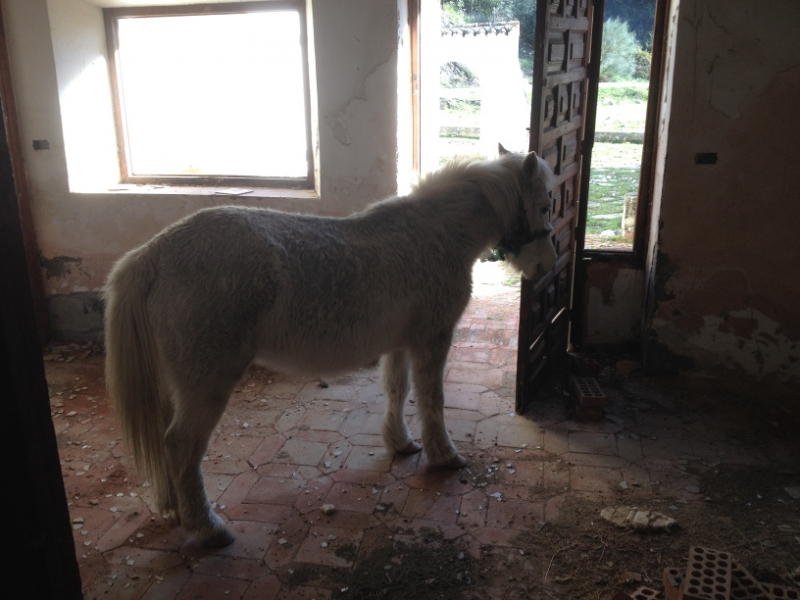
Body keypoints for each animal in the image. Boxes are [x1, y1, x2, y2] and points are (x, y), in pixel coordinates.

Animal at [103, 148, 557, 547]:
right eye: (545, 205)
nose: (547, 266)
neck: (435, 235)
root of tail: (153, 254)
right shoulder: (433, 339)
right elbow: (433, 399)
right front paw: (443, 455)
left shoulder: (400, 343)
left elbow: (397, 391)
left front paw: (401, 443)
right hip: (206, 381)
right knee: (181, 444)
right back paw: (207, 527)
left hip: (175, 383)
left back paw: (176, 510)